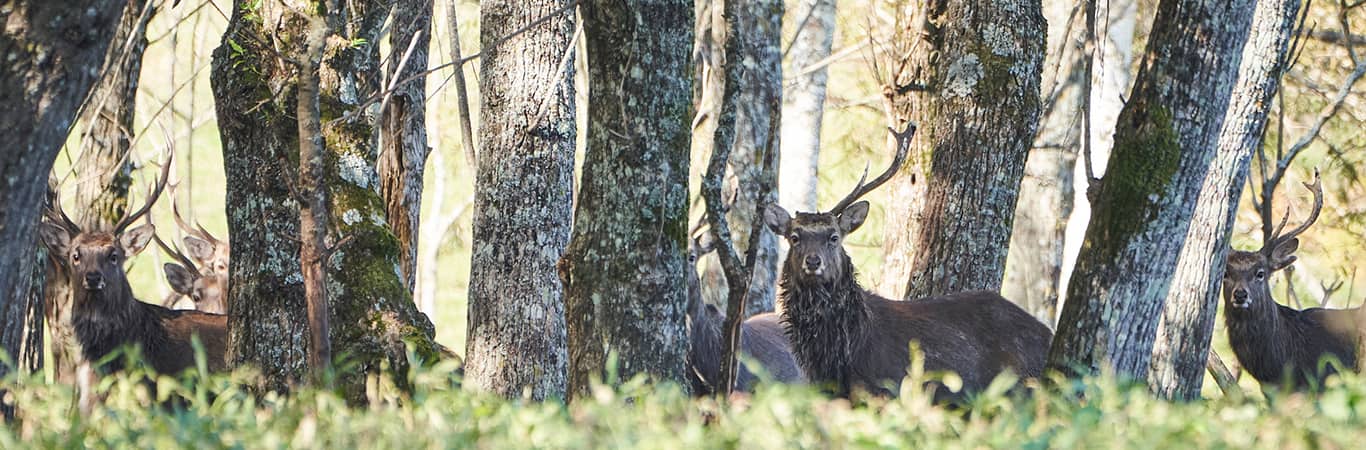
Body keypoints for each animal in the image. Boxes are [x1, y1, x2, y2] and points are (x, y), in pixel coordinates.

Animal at [762, 124, 1053, 400]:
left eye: (833, 237)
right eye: (794, 237)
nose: (813, 262)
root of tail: (1048, 334)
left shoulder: (884, 388)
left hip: (1020, 389)